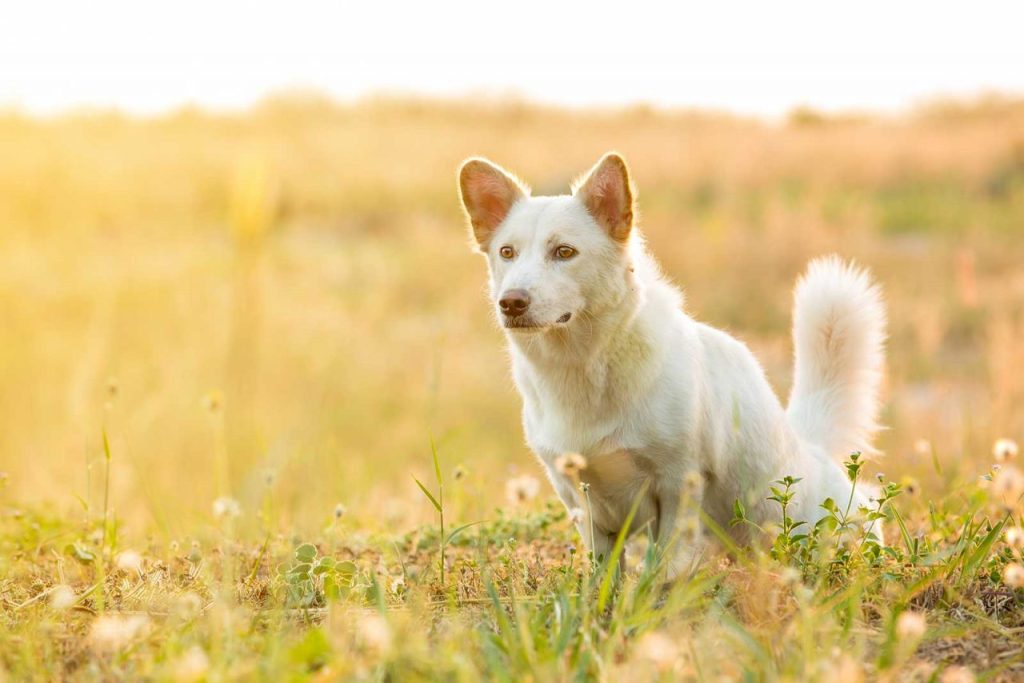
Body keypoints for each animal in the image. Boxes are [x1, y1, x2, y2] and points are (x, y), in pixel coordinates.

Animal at [460, 152, 884, 573]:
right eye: (507, 253)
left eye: (564, 252)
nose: (511, 303)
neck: (584, 365)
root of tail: (813, 449)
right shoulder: (581, 501)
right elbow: (603, 577)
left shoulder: (677, 484)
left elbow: (663, 570)